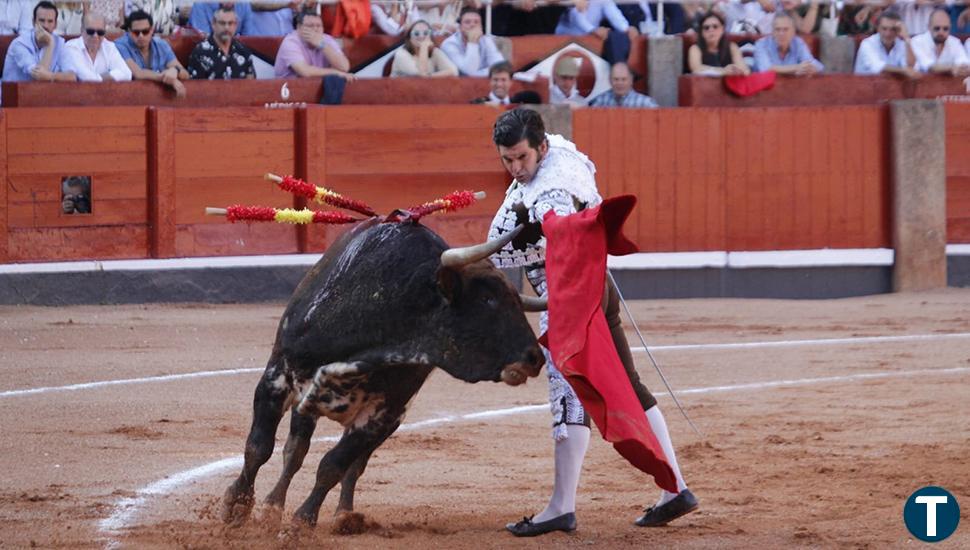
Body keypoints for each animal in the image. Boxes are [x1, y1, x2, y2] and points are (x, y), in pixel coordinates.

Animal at [222, 219, 548, 532]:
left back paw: (344, 516)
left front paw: (301, 523)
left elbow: (333, 466)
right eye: (487, 299)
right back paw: (271, 508)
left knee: (352, 465)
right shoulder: (276, 378)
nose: (536, 357)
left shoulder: (380, 414)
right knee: (294, 451)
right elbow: (259, 447)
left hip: (388, 422)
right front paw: (237, 507)